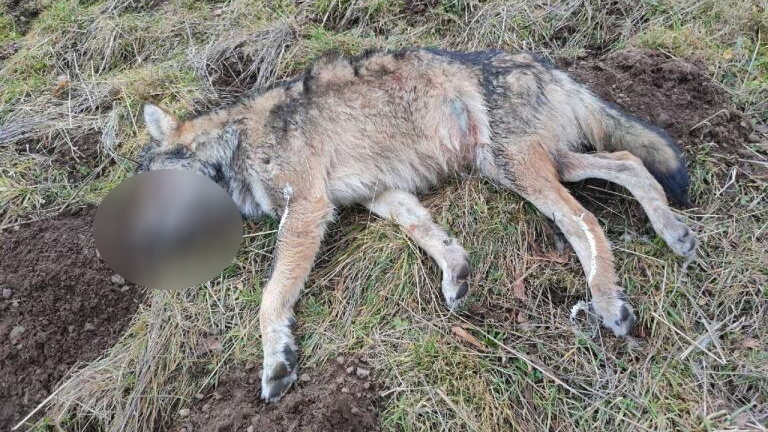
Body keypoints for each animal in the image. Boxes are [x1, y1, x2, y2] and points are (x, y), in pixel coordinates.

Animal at [138, 48, 696, 402]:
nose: (137, 249)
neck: (235, 142)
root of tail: (542, 62)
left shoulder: (308, 211)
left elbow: (270, 297)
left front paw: (277, 362)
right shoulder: (381, 195)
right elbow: (427, 233)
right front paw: (457, 272)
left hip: (523, 172)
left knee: (587, 221)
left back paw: (608, 303)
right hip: (534, 166)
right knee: (629, 161)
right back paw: (674, 232)